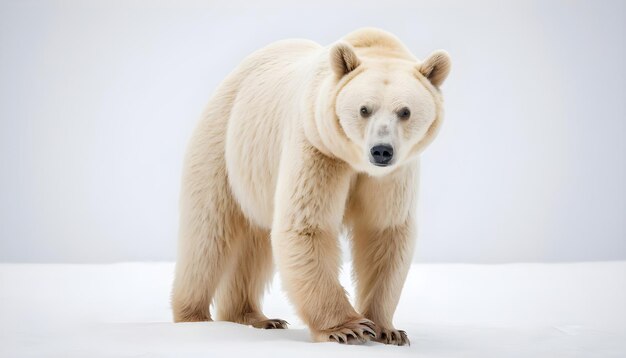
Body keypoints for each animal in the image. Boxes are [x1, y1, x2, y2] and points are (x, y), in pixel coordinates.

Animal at [172, 26, 448, 346]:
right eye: (364, 109)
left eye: (405, 111)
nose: (381, 150)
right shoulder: (317, 148)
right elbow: (307, 225)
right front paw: (348, 328)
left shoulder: (391, 176)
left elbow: (384, 232)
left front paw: (387, 330)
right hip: (222, 147)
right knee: (207, 235)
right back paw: (193, 316)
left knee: (253, 245)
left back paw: (256, 317)